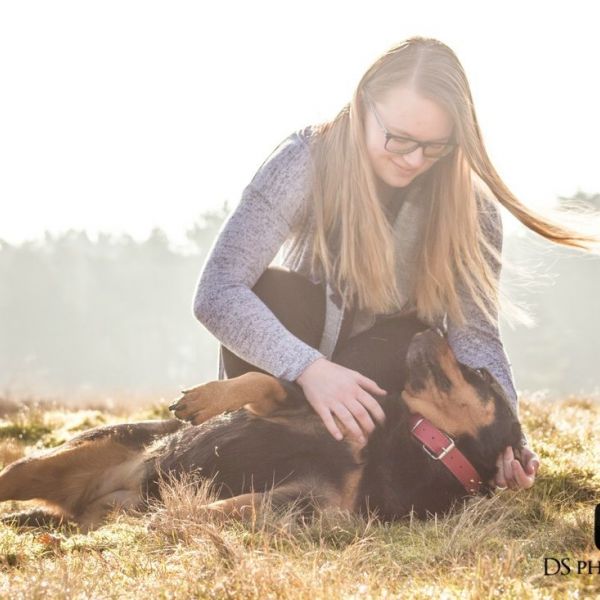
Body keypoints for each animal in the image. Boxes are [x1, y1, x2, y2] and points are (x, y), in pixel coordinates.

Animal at [0, 328, 524, 528]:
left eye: (480, 374)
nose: (434, 328)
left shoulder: (301, 504)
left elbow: (231, 508)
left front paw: (173, 518)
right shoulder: (300, 407)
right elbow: (264, 381)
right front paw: (202, 400)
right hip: (65, 455)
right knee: (14, 474)